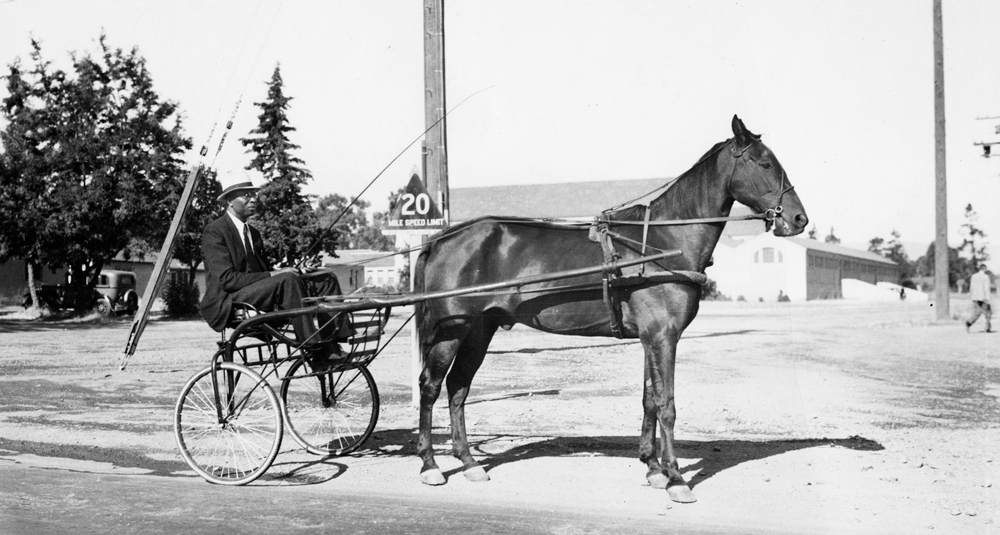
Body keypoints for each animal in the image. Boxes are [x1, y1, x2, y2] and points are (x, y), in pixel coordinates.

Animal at [413, 115, 808, 503]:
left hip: (480, 329)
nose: (799, 219)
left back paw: (468, 462)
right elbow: (666, 404)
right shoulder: (663, 337)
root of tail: (443, 238)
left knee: (458, 387)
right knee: (431, 385)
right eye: (764, 163)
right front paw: (676, 478)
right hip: (454, 329)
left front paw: (653, 468)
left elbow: (650, 400)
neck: (661, 242)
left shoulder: (652, 338)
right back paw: (430, 465)